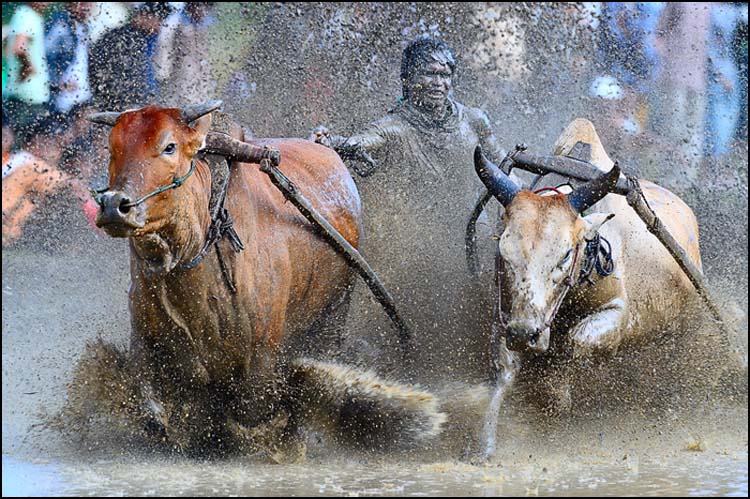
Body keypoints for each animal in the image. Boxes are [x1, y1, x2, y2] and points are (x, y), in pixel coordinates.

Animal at [85, 102, 444, 461]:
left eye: (169, 146)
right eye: (112, 149)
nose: (115, 205)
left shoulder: (263, 352)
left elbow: (256, 406)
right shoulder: (144, 335)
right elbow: (150, 402)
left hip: (334, 312)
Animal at [474, 119, 704, 427]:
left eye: (566, 254)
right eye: (504, 250)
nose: (525, 334)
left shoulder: (618, 314)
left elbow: (576, 342)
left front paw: (556, 393)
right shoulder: (506, 314)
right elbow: (504, 370)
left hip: (688, 321)